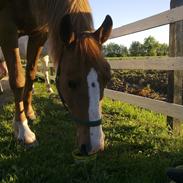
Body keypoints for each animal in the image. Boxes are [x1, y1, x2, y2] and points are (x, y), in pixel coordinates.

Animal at [0, 0, 112, 155]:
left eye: (107, 79)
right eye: (70, 83)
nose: (95, 146)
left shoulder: (38, 35)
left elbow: (31, 73)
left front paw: (29, 112)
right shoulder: (7, 26)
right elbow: (18, 79)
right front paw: (23, 130)